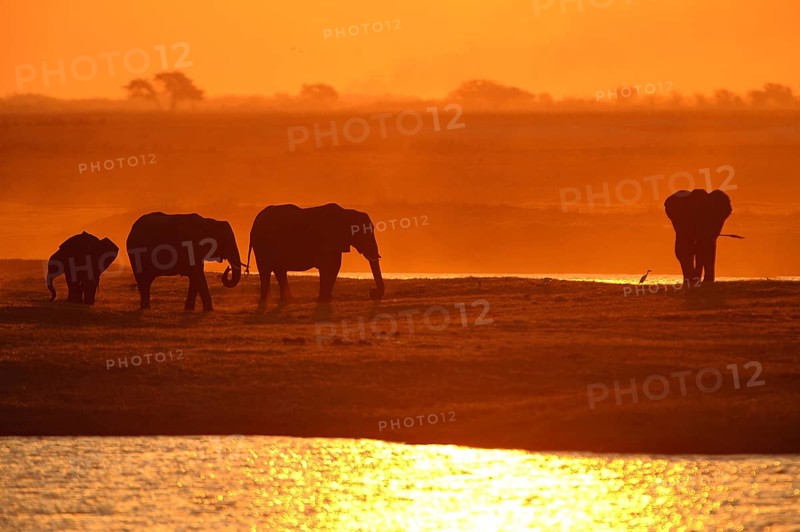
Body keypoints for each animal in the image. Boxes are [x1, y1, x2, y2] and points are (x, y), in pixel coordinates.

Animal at [247, 203, 384, 306]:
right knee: (266, 270)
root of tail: (255, 222)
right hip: (261, 244)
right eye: (362, 233)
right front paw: (324, 299)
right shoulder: (328, 239)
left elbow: (334, 266)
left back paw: (287, 299)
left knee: (279, 271)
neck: (346, 213)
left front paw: (327, 298)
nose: (372, 292)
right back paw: (267, 300)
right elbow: (329, 266)